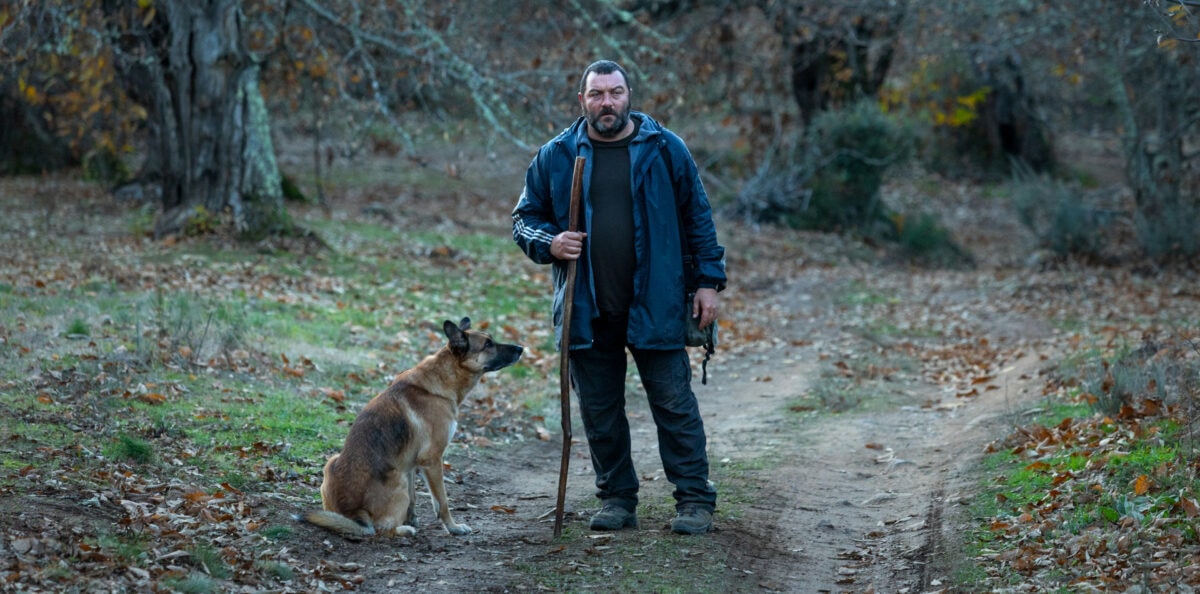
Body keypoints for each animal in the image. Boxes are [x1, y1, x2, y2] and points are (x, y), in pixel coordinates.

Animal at [295, 319, 520, 542]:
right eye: (488, 344)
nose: (521, 348)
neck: (443, 378)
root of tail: (353, 512)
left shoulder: (411, 463)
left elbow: (414, 499)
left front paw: (412, 519)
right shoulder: (432, 459)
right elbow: (442, 502)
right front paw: (453, 528)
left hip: (336, 461)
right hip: (397, 477)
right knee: (380, 530)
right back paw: (404, 531)